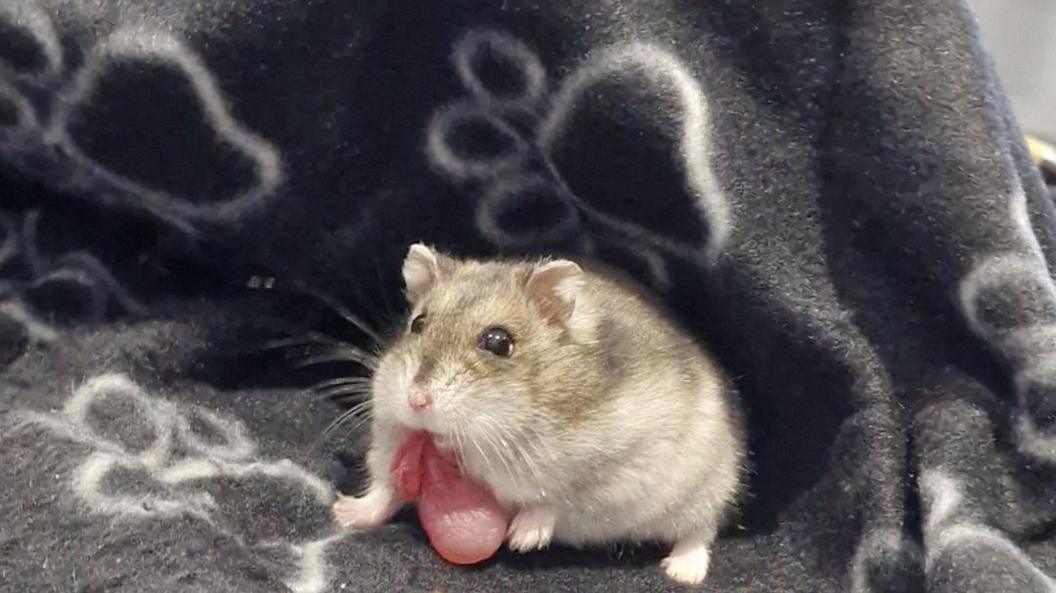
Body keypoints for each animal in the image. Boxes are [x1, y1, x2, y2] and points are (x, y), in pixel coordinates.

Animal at [332, 243, 746, 586]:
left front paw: (521, 539)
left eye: (499, 342)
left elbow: (557, 499)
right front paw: (342, 512)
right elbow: (384, 491)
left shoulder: (621, 465)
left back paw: (683, 573)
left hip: (708, 486)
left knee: (699, 530)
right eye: (418, 324)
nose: (416, 401)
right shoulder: (387, 445)